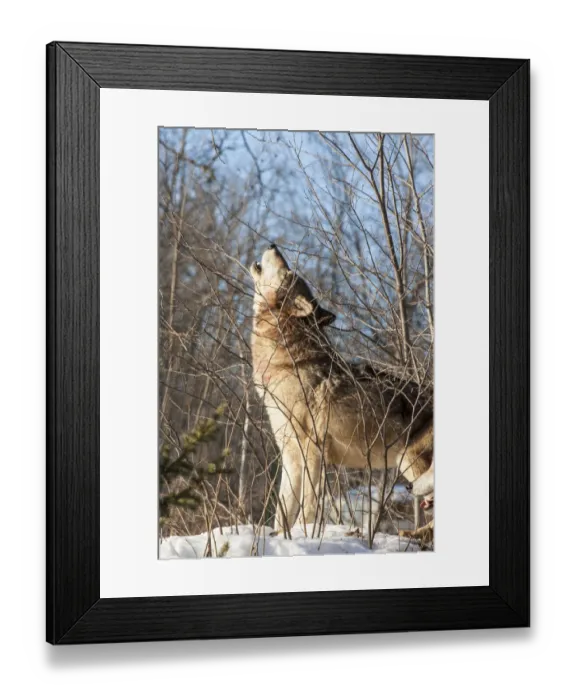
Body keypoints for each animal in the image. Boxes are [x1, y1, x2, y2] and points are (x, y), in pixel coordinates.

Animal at [250, 244, 434, 539]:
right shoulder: (290, 458)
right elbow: (282, 511)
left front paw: (305, 535)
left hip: (408, 460)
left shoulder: (313, 451)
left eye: (288, 272)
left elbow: (308, 506)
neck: (287, 363)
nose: (272, 245)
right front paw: (280, 538)